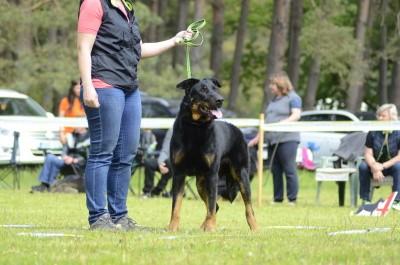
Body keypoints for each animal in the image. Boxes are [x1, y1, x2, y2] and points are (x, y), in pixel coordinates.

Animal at [168, 77, 256, 230]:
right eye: (203, 90)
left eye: (215, 89)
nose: (220, 100)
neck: (196, 127)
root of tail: (238, 130)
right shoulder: (178, 174)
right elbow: (176, 205)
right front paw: (173, 227)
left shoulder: (212, 174)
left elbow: (211, 205)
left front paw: (210, 227)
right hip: (200, 183)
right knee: (216, 206)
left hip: (241, 175)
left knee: (248, 207)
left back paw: (255, 228)